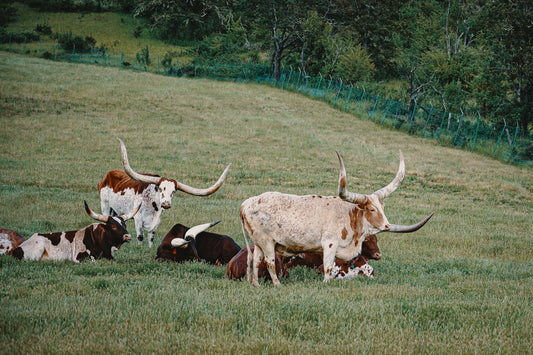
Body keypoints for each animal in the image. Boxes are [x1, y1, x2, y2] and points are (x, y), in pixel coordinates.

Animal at [97, 139, 231, 248]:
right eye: (160, 189)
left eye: (173, 191)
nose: (166, 204)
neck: (151, 204)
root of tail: (108, 175)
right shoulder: (138, 218)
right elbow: (140, 237)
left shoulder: (156, 221)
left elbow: (151, 237)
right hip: (105, 205)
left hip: (115, 209)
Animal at [240, 152, 432, 288]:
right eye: (371, 209)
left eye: (382, 207)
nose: (386, 225)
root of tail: (246, 203)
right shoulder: (330, 244)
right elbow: (328, 266)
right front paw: (326, 283)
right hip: (267, 241)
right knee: (269, 262)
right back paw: (277, 285)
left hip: (258, 242)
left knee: (255, 260)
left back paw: (256, 284)